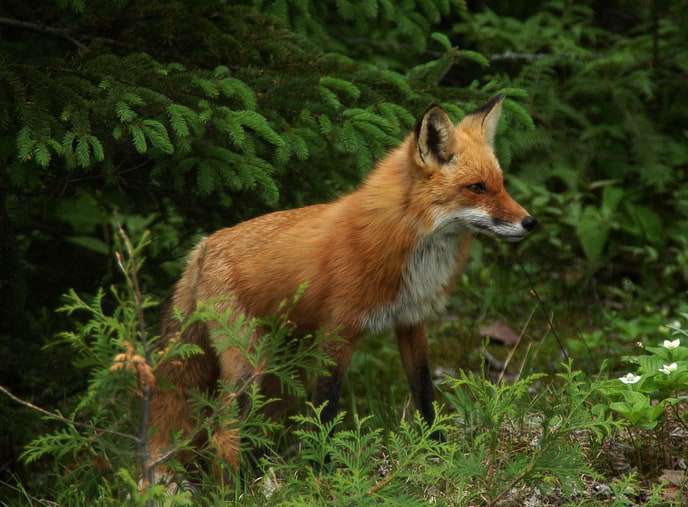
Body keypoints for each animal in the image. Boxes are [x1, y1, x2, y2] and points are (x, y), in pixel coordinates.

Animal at [149, 95, 536, 476]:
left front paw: (437, 450)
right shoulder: (338, 331)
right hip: (249, 362)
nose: (530, 222)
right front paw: (322, 472)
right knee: (222, 435)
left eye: (501, 183)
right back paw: (241, 486)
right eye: (477, 188)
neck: (406, 239)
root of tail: (203, 246)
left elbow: (424, 393)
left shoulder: (411, 321)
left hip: (273, 366)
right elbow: (326, 409)